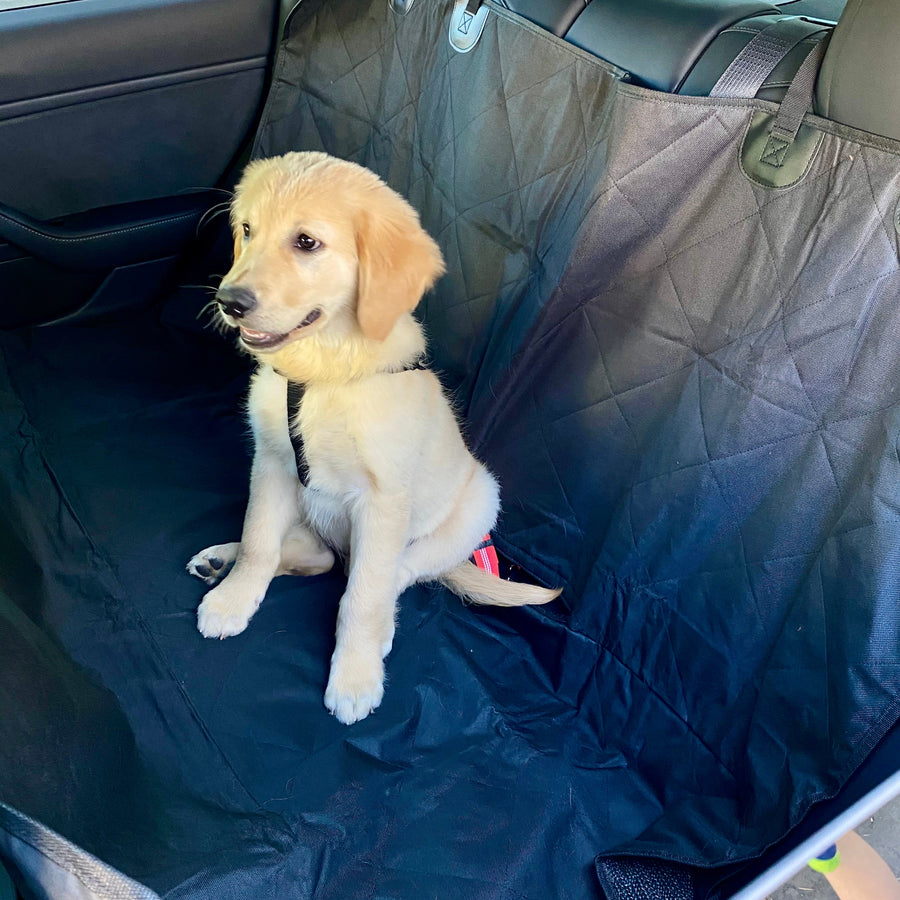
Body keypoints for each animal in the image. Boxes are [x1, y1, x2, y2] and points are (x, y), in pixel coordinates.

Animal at [187, 149, 560, 724]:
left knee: (395, 574)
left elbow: (362, 594)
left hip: (477, 503)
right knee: (312, 557)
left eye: (307, 242)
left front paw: (356, 675)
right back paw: (220, 561)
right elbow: (258, 541)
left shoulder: (383, 500)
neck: (322, 371)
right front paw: (235, 597)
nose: (230, 301)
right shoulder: (271, 462)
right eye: (247, 230)